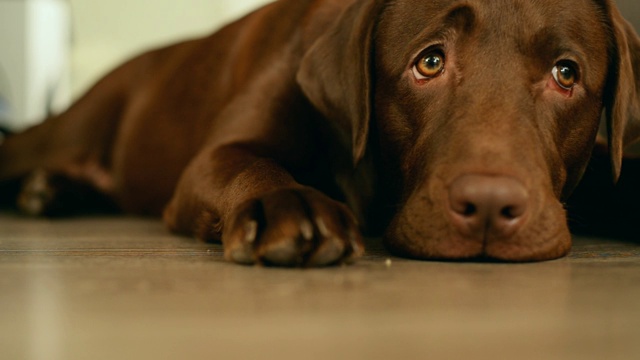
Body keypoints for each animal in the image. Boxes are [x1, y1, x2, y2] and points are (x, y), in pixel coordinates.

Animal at [0, 0, 636, 266]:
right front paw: (293, 207)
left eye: (566, 74)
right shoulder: (216, 157)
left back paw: (50, 192)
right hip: (64, 128)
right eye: (429, 62)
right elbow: (250, 164)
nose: (487, 206)